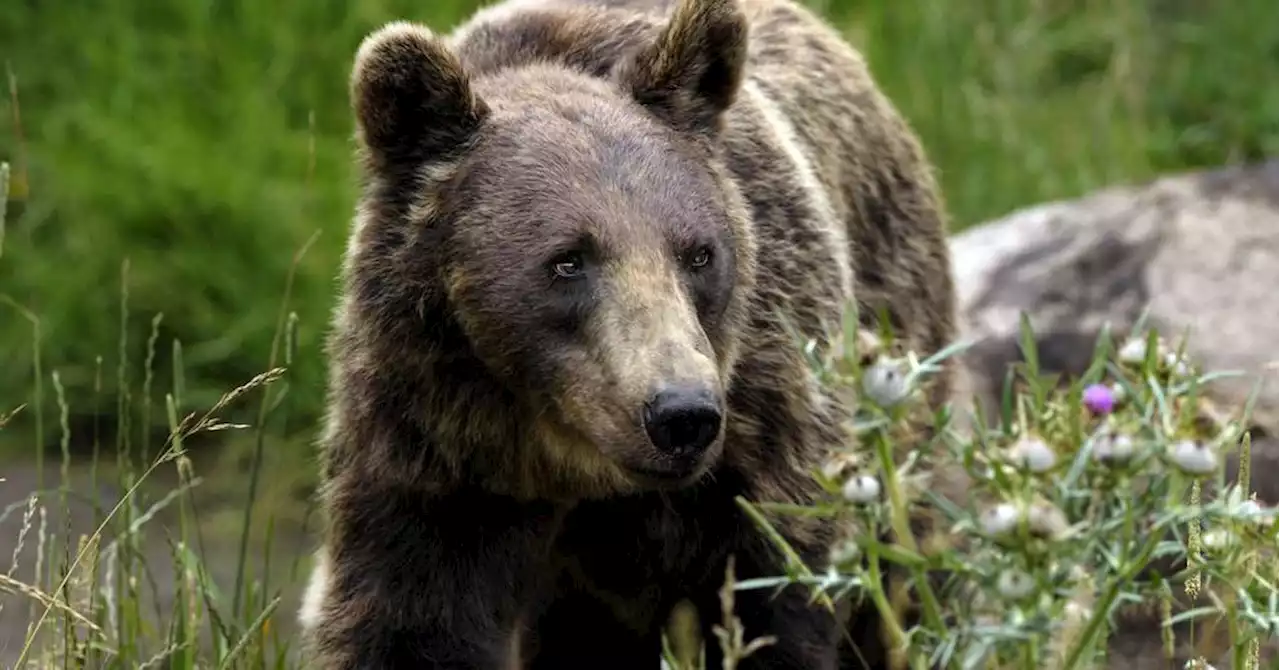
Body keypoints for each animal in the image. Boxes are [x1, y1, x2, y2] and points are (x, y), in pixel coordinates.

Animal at [299, 0, 957, 666]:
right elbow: (411, 622)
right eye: (566, 260)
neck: (567, 461)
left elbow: (776, 600)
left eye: (698, 253)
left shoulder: (765, 437)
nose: (681, 413)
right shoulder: (433, 451)